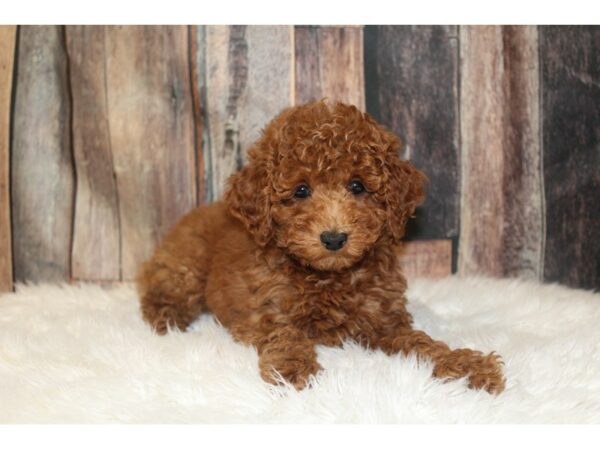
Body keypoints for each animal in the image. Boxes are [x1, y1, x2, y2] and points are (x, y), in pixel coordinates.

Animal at [137, 99, 506, 394]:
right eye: (300, 190)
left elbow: (421, 344)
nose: (333, 238)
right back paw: (167, 318)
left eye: (357, 186)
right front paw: (291, 369)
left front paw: (466, 365)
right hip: (186, 264)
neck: (329, 277)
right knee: (159, 289)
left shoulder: (385, 322)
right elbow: (286, 334)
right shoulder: (267, 310)